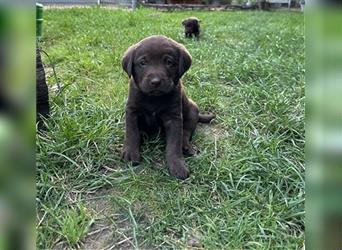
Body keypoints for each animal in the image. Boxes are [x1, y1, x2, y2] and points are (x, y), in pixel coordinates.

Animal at [121, 35, 214, 180]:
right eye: (143, 62)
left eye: (169, 62)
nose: (156, 82)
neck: (153, 98)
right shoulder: (132, 111)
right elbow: (131, 133)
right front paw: (131, 152)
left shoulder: (173, 117)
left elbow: (174, 144)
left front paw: (177, 165)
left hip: (192, 111)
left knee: (186, 132)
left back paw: (185, 146)